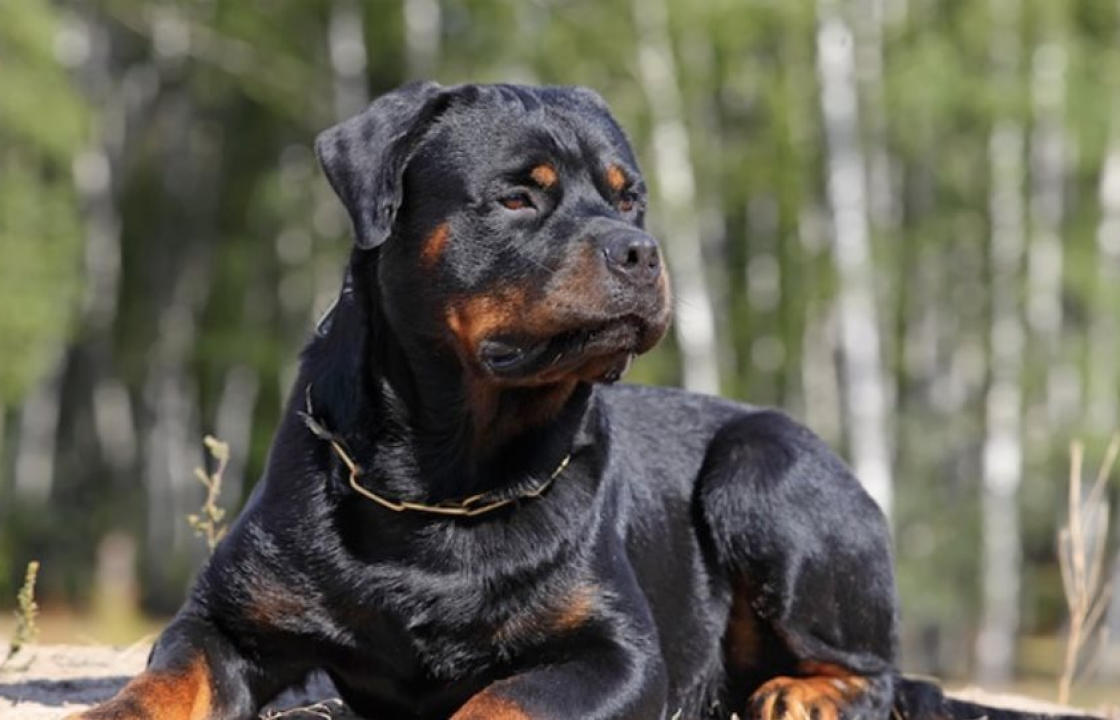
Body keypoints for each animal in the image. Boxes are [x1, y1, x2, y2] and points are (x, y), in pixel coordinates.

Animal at [72, 81, 1093, 716]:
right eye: (520, 198)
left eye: (627, 197)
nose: (640, 251)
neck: (445, 475)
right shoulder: (226, 618)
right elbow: (163, 680)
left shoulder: (616, 653)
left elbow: (502, 701)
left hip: (768, 468)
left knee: (878, 672)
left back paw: (803, 694)